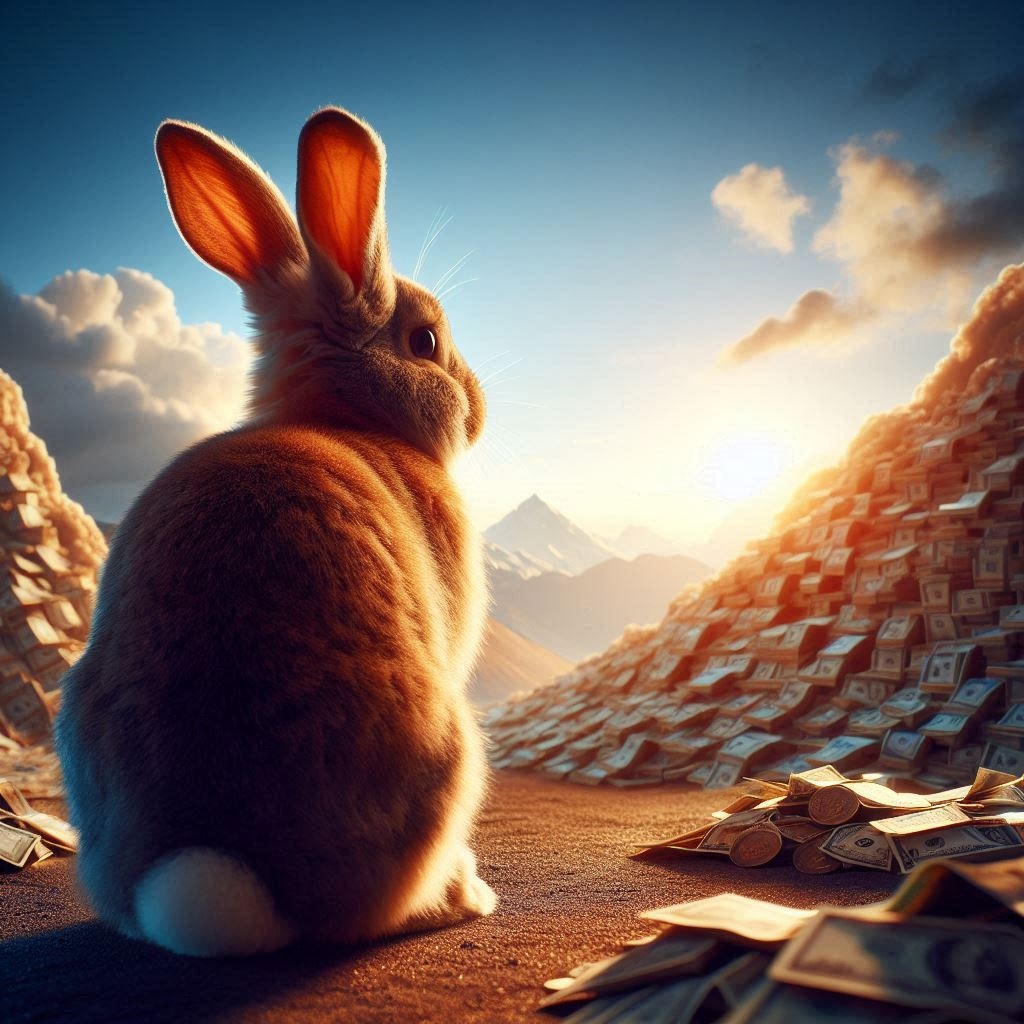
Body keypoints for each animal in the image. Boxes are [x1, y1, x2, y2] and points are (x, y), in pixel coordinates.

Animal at [54, 107, 496, 957]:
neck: (347, 415)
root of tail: (221, 868)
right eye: (425, 342)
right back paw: (462, 896)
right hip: (448, 750)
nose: (480, 405)